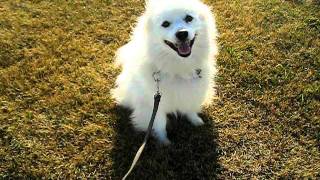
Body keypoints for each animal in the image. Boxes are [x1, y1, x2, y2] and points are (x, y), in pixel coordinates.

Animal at [111, 0, 219, 144]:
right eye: (165, 24)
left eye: (189, 18)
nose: (182, 33)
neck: (179, 66)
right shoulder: (154, 104)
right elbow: (160, 124)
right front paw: (164, 142)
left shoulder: (191, 92)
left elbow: (190, 108)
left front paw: (196, 121)